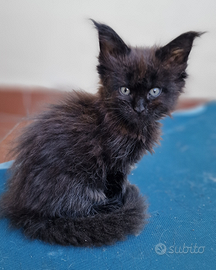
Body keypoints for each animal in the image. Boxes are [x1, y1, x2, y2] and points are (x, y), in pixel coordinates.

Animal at [0, 20, 202, 246]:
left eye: (154, 91)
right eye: (125, 90)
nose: (139, 108)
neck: (125, 125)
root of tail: (22, 207)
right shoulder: (113, 162)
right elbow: (117, 183)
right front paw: (120, 198)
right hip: (80, 179)